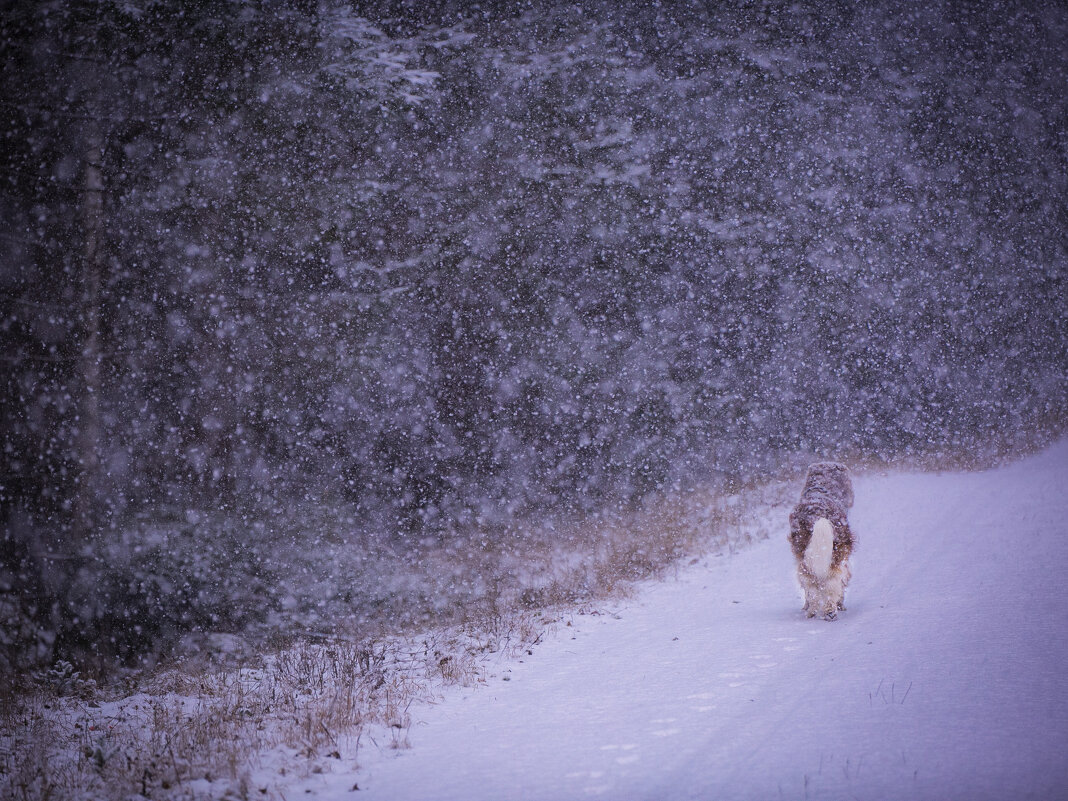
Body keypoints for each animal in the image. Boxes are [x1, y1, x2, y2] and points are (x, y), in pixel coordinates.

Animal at [790, 463, 854, 619]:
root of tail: (818, 515)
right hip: (835, 560)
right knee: (830, 585)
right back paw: (828, 611)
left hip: (806, 562)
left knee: (812, 588)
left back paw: (814, 612)